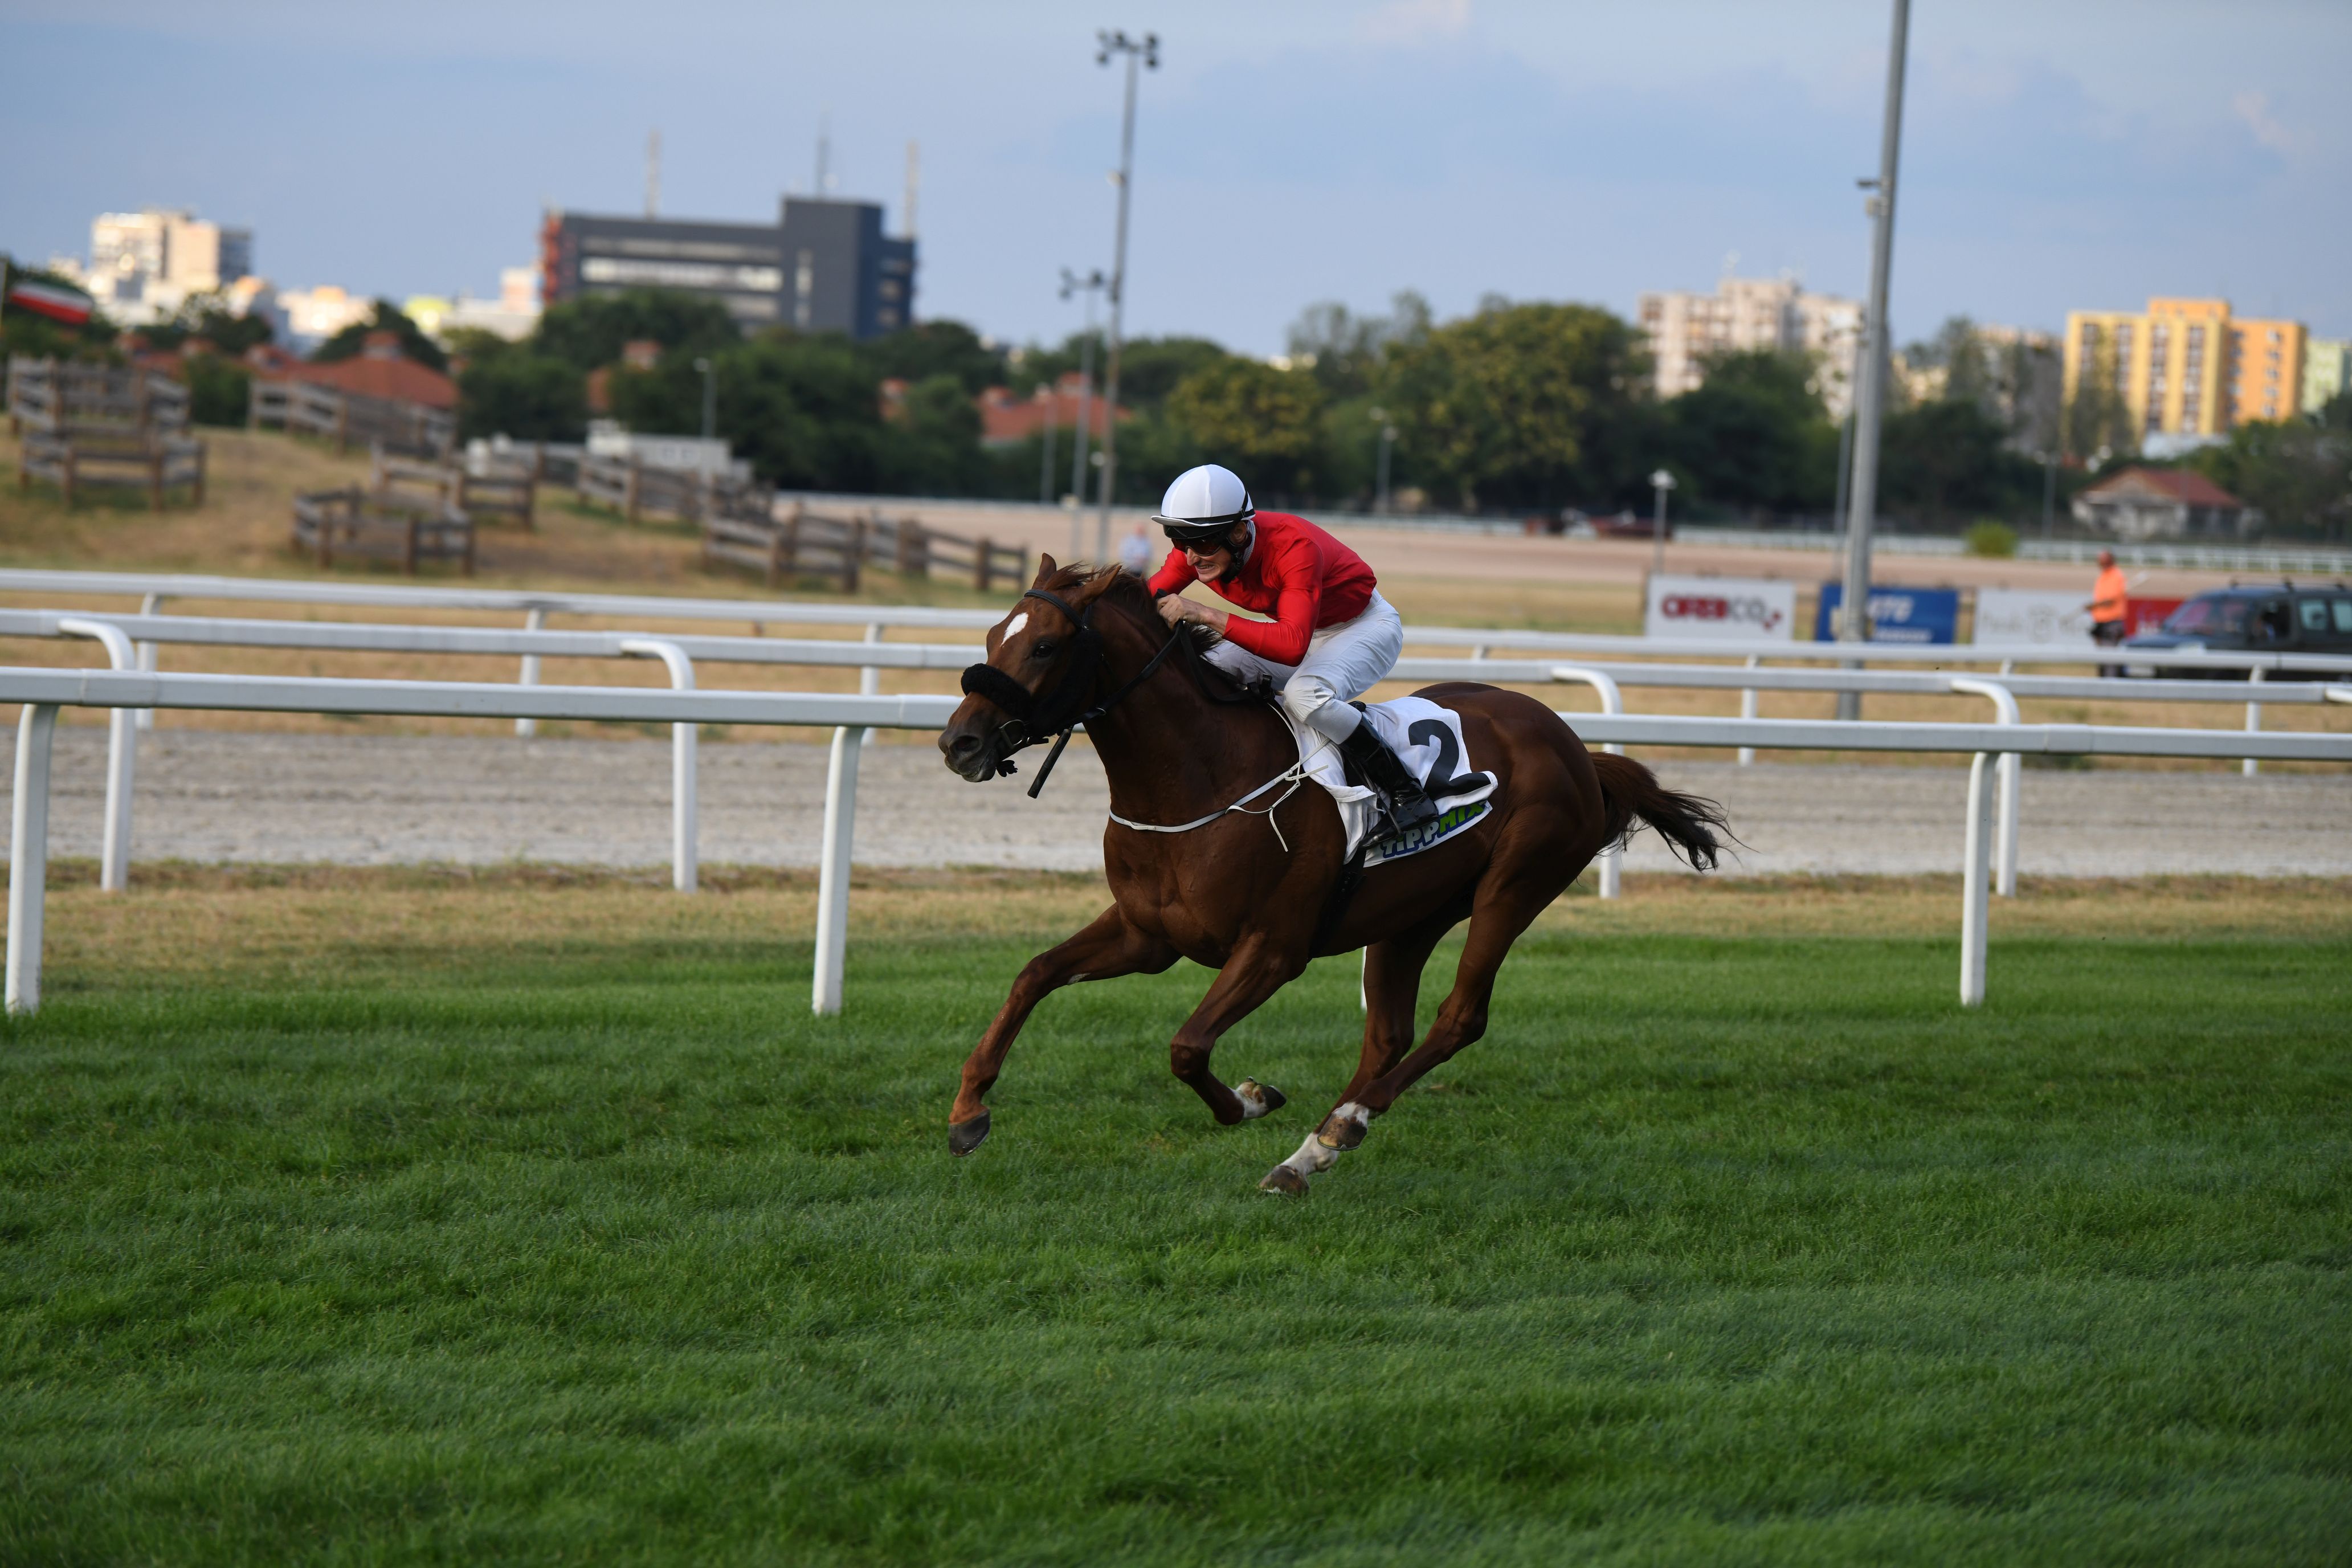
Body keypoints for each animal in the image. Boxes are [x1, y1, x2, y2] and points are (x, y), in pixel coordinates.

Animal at [936, 562, 1731, 1189]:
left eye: (1045, 645)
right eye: (992, 637)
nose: (958, 743)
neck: (1196, 776)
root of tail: (1576, 747)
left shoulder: (1274, 948)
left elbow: (1187, 1047)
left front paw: (1252, 1100)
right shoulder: (1146, 933)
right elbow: (1035, 974)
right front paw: (968, 1112)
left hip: (1515, 888)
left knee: (1459, 1018)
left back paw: (1340, 1127)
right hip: (1412, 917)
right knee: (1388, 1035)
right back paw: (1307, 1157)